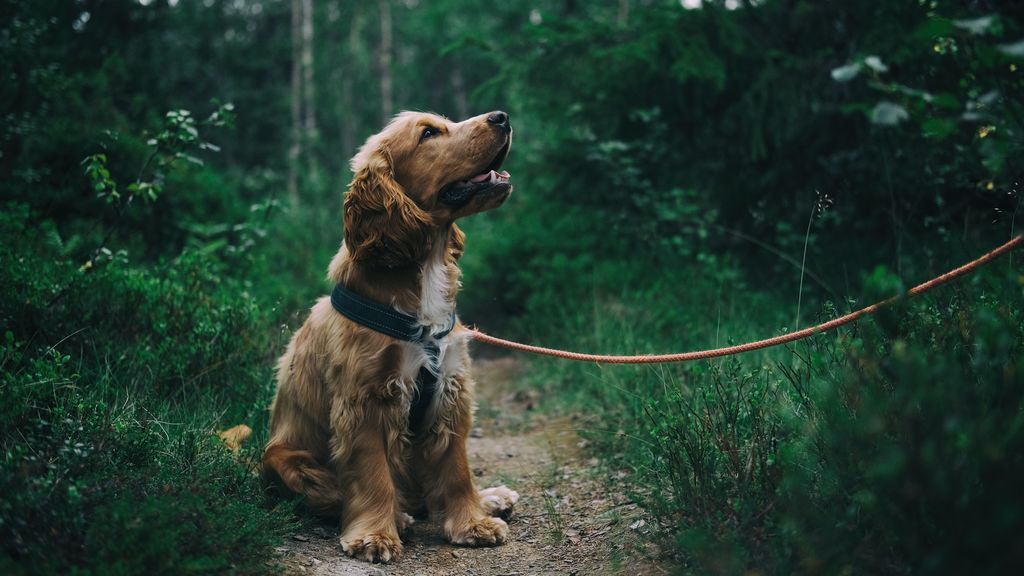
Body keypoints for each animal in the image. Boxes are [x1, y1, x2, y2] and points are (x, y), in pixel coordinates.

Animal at [264, 109, 520, 557]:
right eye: (429, 133)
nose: (501, 116)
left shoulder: (450, 389)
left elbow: (456, 469)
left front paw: (471, 522)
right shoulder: (365, 399)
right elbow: (371, 474)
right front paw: (375, 535)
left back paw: (489, 498)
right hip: (286, 462)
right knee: (339, 494)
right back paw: (399, 516)